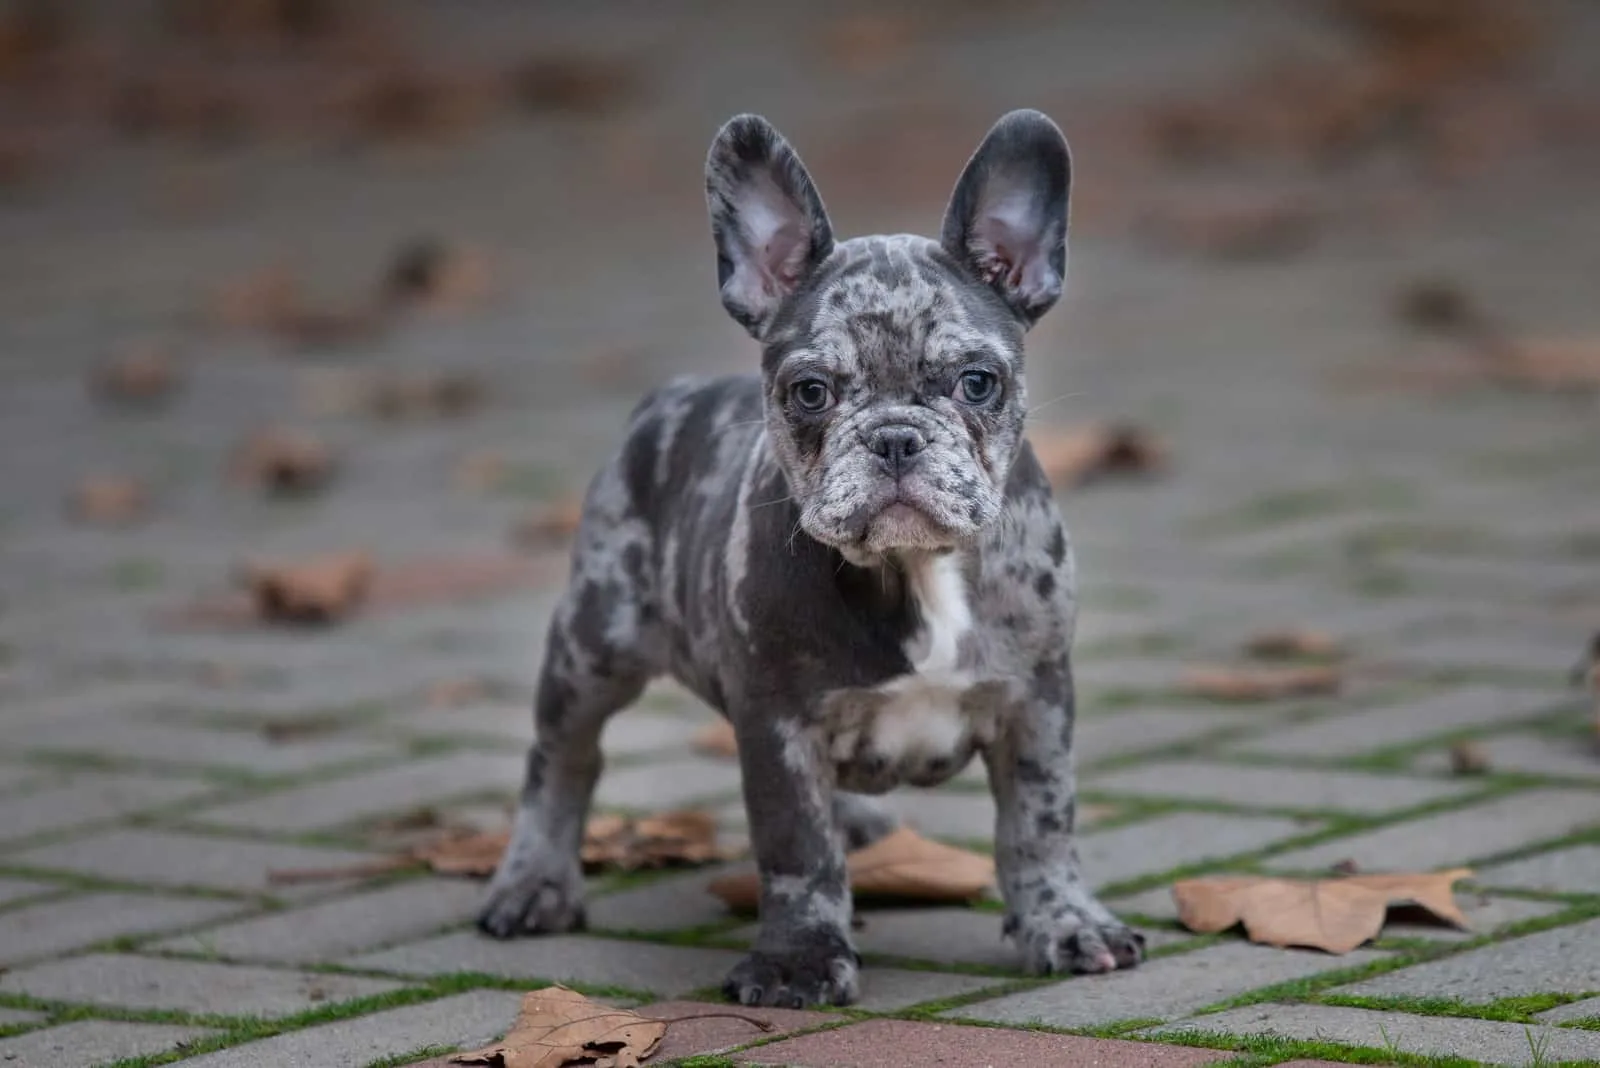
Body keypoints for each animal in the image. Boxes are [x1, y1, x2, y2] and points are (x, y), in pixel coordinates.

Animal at [480, 110, 1145, 1010]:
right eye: (810, 392)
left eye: (977, 382)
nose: (894, 436)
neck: (915, 570)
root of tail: (667, 396)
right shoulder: (777, 726)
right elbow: (798, 847)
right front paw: (799, 957)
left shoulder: (1038, 699)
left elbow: (1042, 823)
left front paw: (1067, 924)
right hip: (595, 641)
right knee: (562, 756)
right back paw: (533, 882)